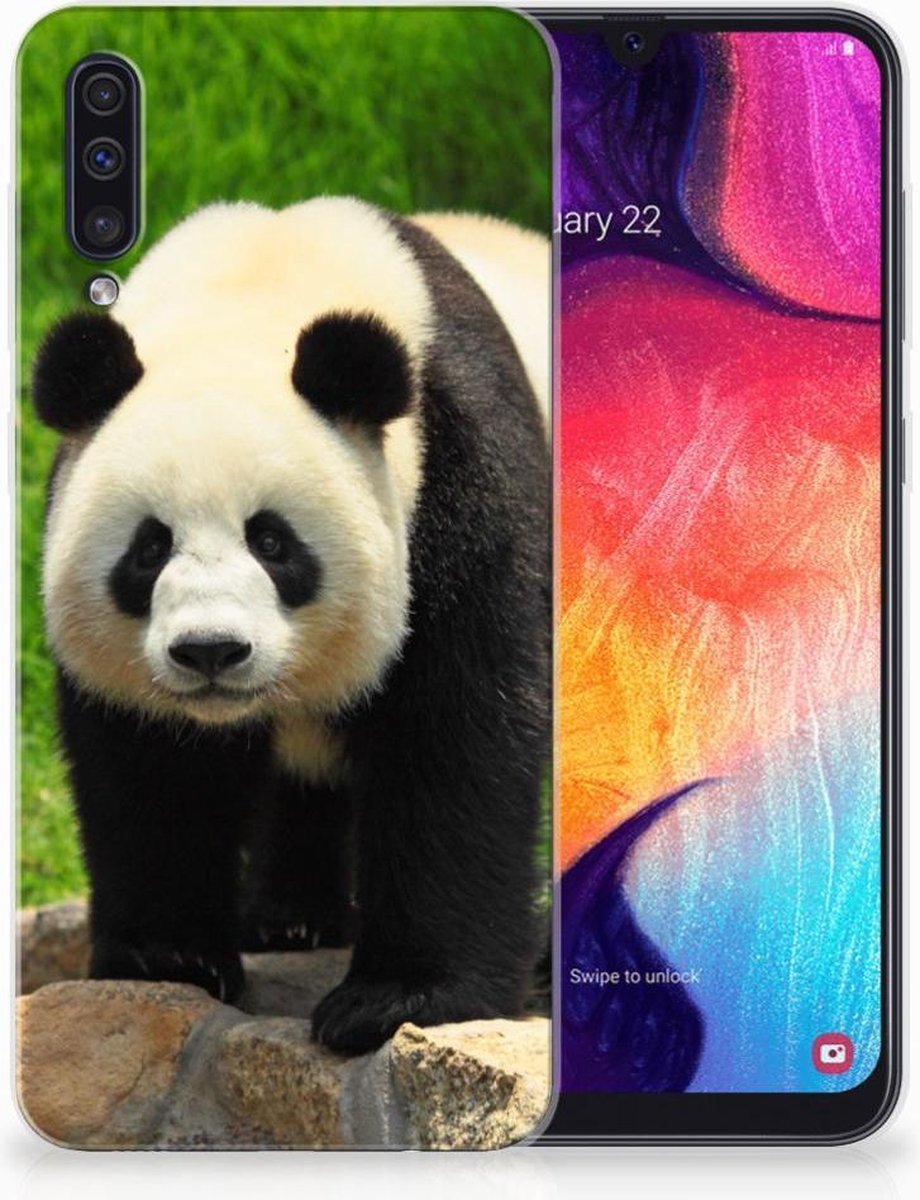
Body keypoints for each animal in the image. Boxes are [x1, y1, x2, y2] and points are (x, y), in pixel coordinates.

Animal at [32, 198, 550, 1054]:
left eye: (272, 542)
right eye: (149, 548)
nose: (210, 651)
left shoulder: (462, 477)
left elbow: (457, 735)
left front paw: (397, 998)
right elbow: (151, 765)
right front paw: (169, 956)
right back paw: (290, 917)